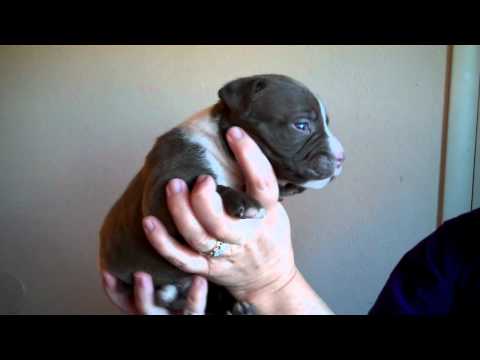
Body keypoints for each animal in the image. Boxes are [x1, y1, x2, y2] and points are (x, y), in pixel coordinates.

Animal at [98, 74, 344, 316]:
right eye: (301, 125)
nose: (342, 157)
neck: (227, 156)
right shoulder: (161, 195)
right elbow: (204, 185)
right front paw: (243, 201)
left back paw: (239, 310)